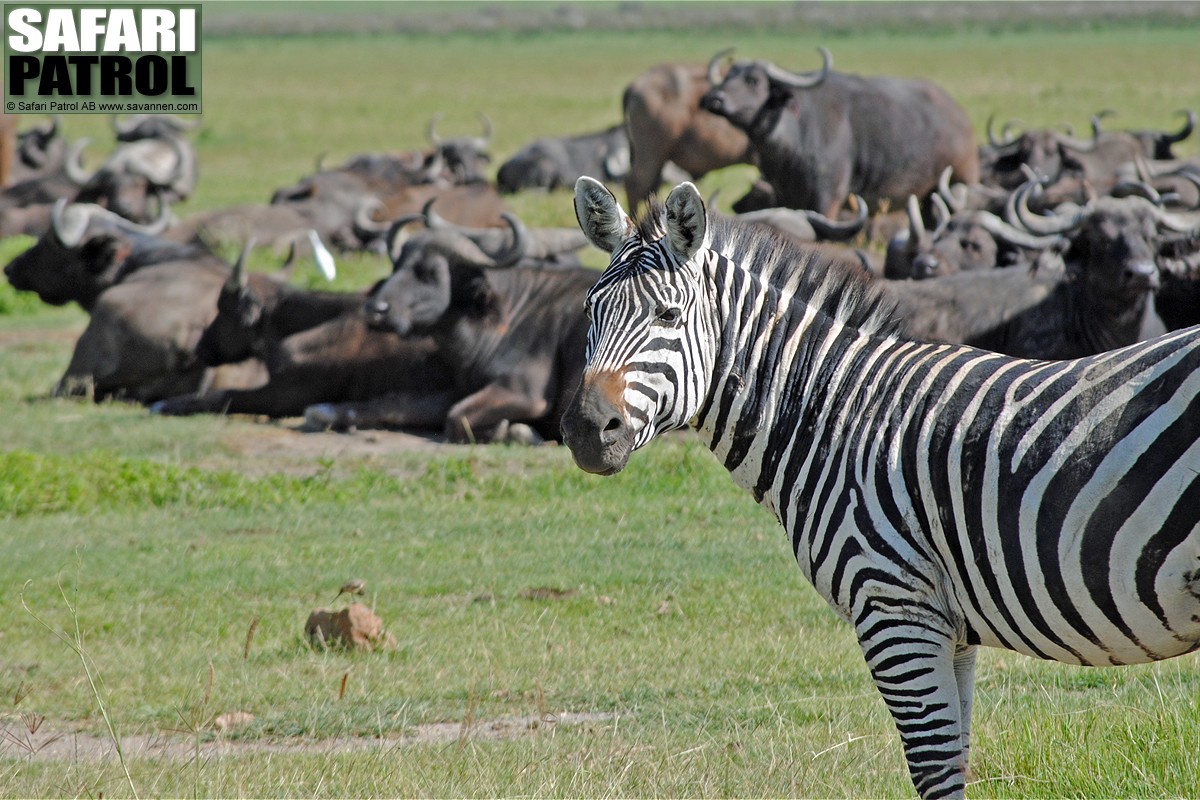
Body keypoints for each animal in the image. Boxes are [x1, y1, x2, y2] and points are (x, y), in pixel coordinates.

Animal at [559, 176, 1200, 800]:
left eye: (669, 315)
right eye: (590, 312)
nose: (586, 430)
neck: (836, 415)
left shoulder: (893, 607)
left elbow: (935, 770)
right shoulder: (952, 628)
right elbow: (958, 756)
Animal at [700, 50, 979, 219]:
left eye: (753, 81)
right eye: (727, 76)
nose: (714, 98)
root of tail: (961, 117)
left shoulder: (828, 198)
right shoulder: (785, 198)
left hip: (961, 180)